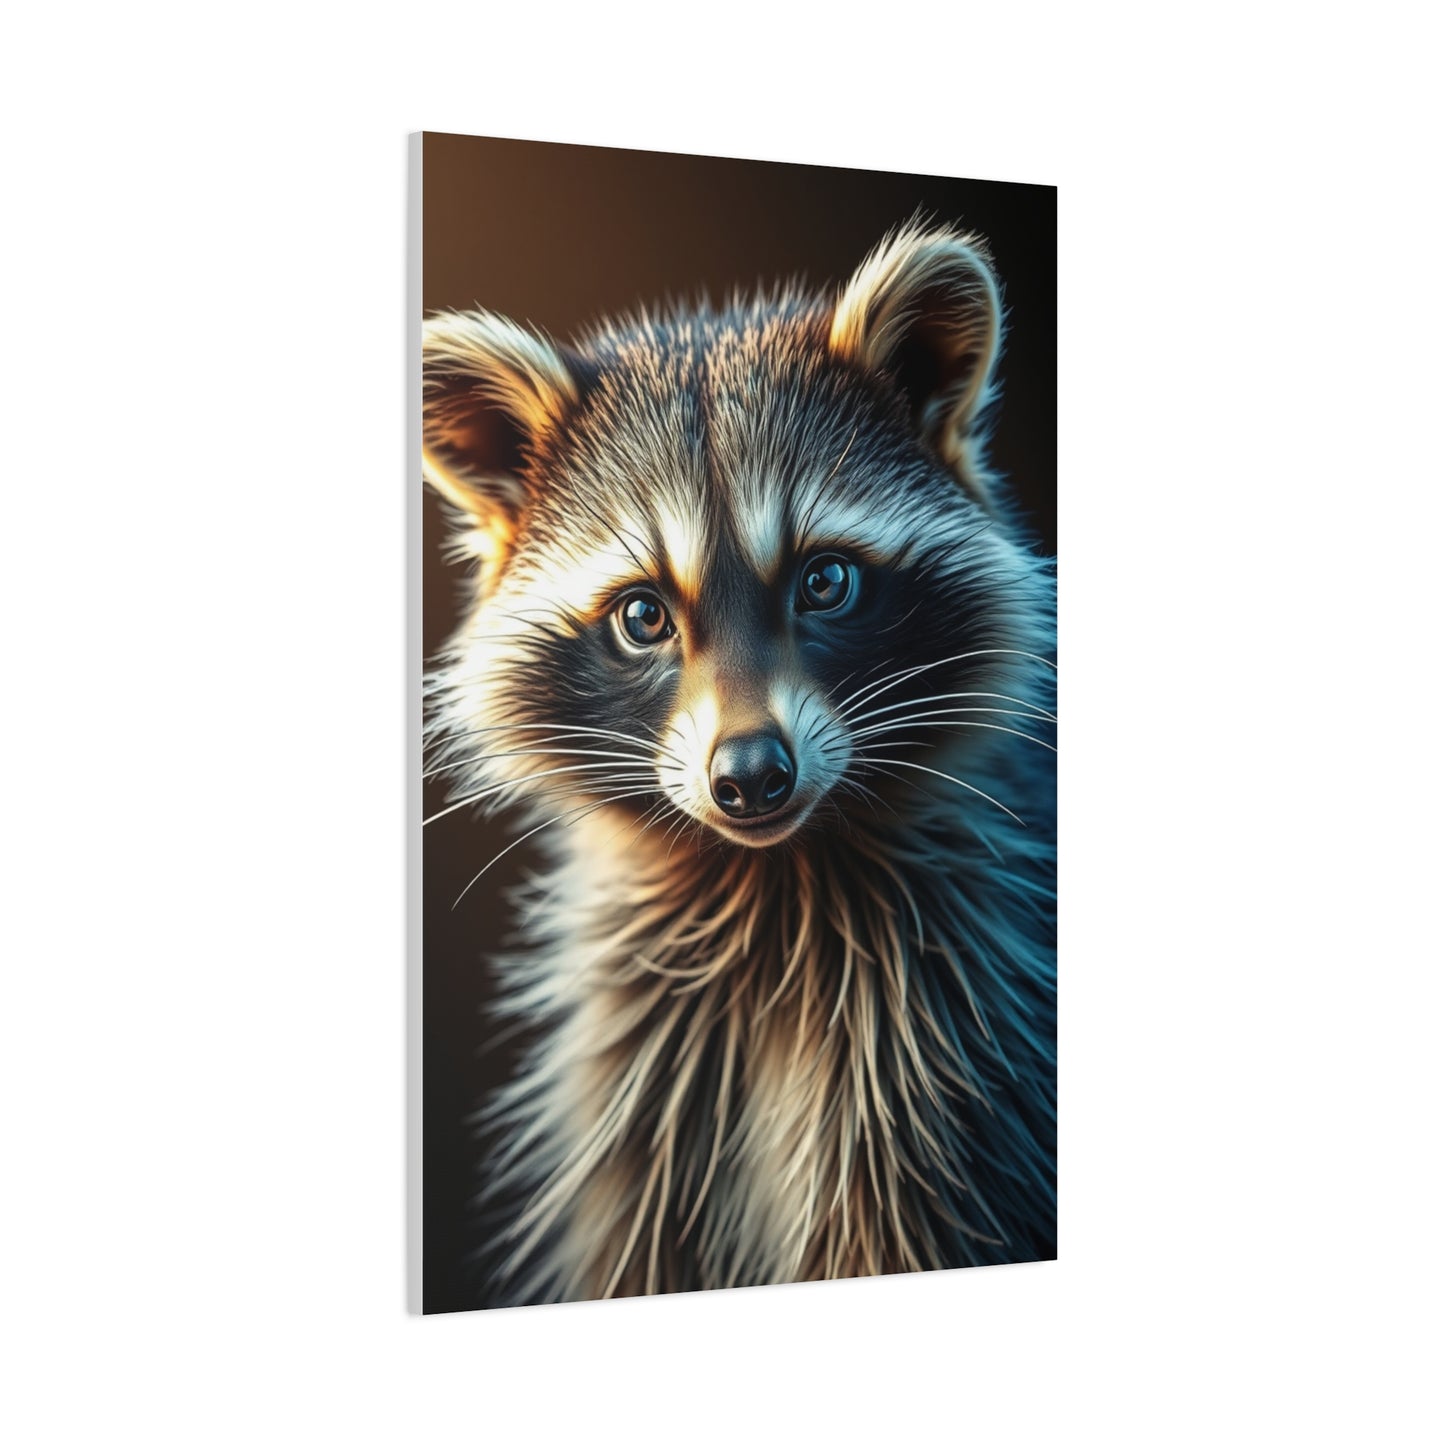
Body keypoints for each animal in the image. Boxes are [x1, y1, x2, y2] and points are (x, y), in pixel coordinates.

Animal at [423, 221, 1056, 1304]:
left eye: (825, 580)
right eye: (642, 615)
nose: (753, 773)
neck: (772, 878)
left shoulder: (946, 1066)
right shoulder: (643, 1081)